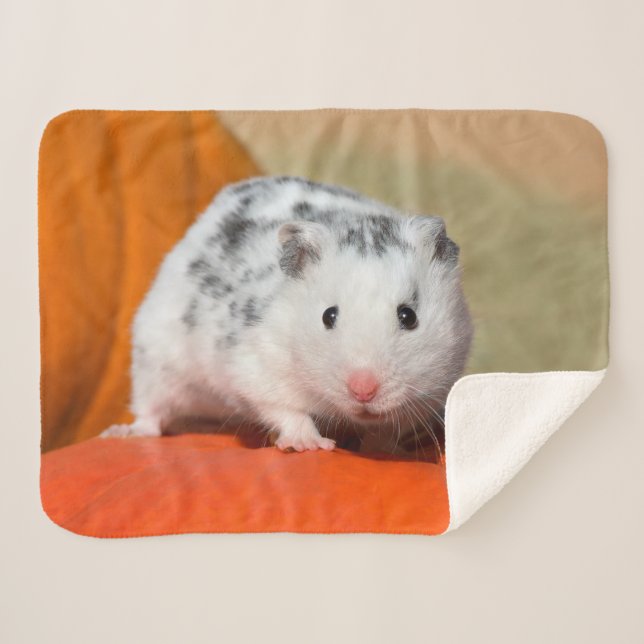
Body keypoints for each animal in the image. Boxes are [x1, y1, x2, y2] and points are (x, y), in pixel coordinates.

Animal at [101, 176, 473, 453]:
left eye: (409, 316)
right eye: (328, 316)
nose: (363, 391)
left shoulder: (434, 391)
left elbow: (385, 432)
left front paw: (381, 450)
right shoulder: (258, 368)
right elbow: (287, 410)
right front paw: (310, 445)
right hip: (155, 359)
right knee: (150, 411)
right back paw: (122, 433)